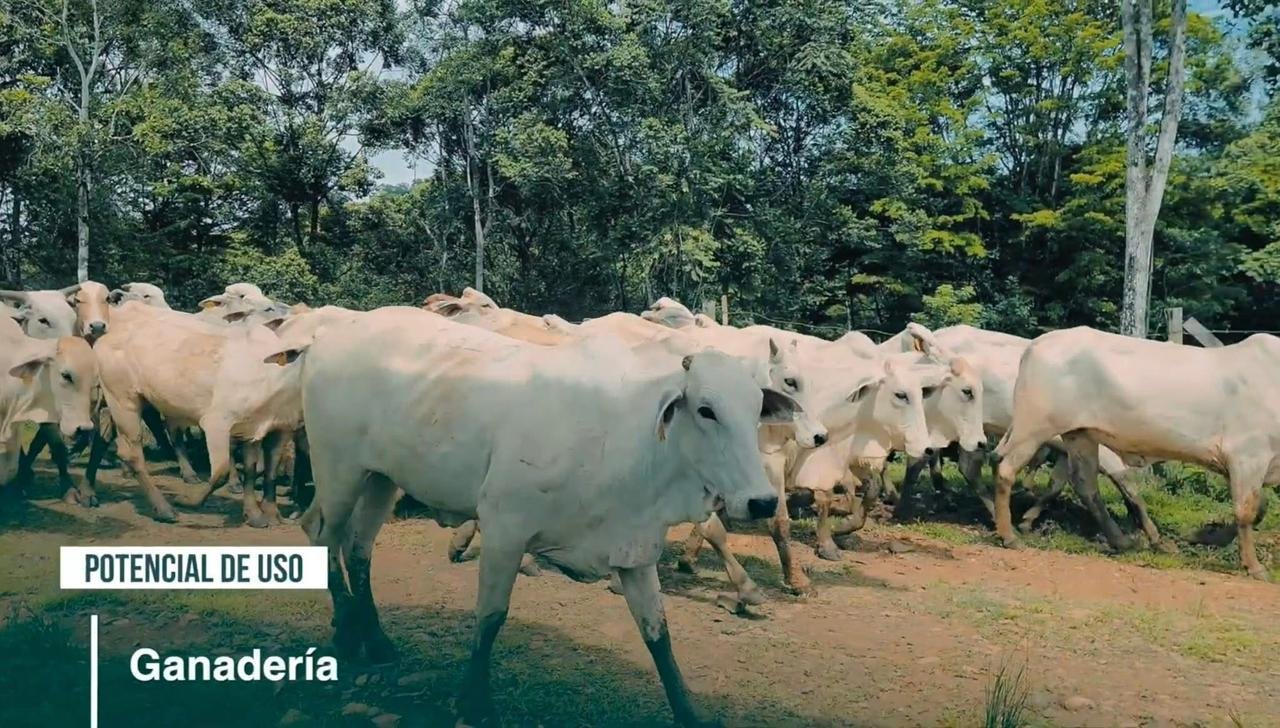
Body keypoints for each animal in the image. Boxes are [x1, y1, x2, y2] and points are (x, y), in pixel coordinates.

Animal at [295, 306, 799, 727]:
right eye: (706, 410)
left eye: (757, 410)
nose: (762, 502)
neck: (625, 437)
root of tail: (334, 332)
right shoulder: (504, 527)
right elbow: (490, 617)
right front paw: (475, 703)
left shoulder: (635, 550)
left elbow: (659, 636)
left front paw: (688, 714)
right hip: (338, 469)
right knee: (322, 533)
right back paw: (346, 630)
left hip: (382, 477)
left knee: (358, 547)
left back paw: (375, 638)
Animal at [994, 327, 1274, 578]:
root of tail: (1035, 344)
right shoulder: (1248, 456)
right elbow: (1247, 511)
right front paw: (1254, 566)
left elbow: (1258, 509)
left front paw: (1207, 536)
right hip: (1033, 427)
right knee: (1006, 470)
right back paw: (1009, 536)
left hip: (1080, 434)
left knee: (1085, 485)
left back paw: (1122, 541)